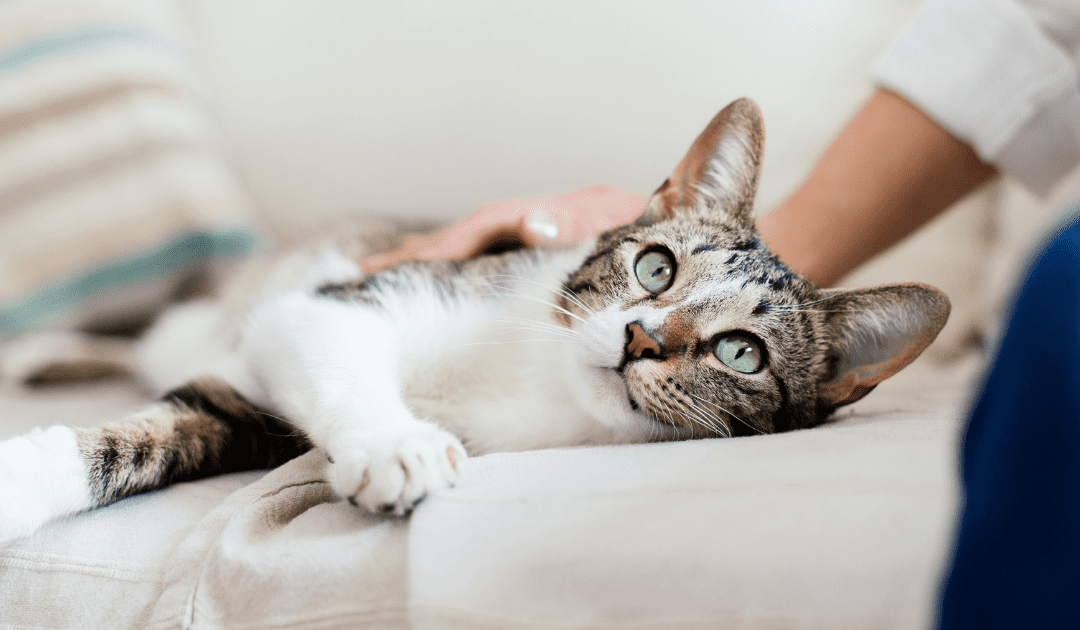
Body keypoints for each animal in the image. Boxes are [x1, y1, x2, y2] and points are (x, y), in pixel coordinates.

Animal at [0, 98, 946, 542]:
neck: (536, 383)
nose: (642, 339)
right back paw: (42, 349)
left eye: (742, 353)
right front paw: (396, 443)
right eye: (656, 267)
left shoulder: (255, 414)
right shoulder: (342, 300)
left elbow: (180, 432)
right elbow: (314, 344)